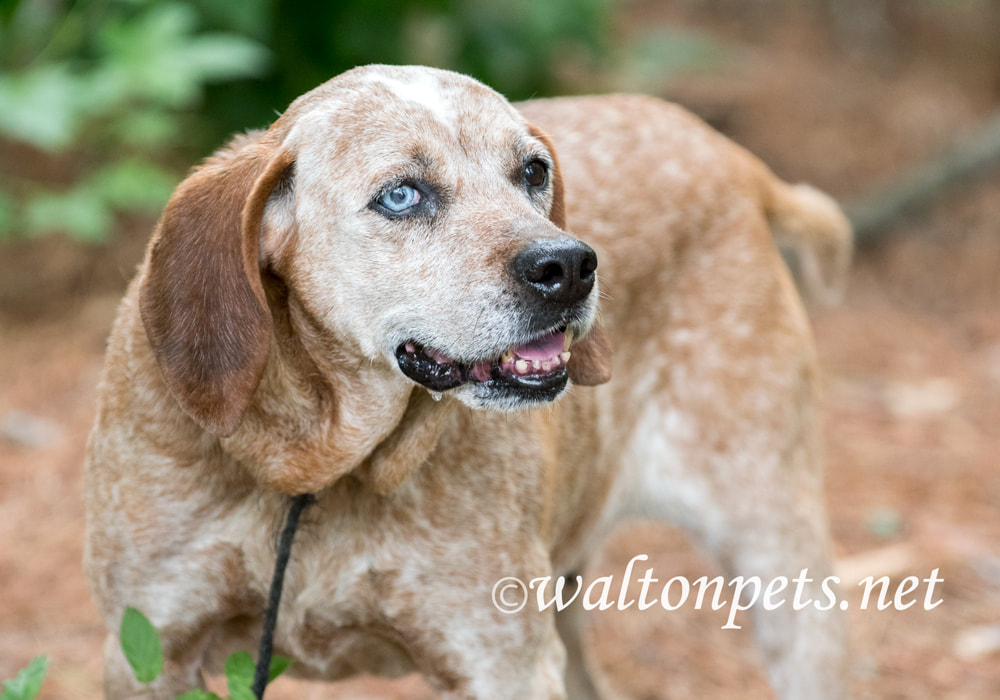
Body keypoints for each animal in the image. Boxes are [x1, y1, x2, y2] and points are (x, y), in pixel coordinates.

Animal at [86, 63, 852, 696]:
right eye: (401, 195)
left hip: (782, 567)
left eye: (533, 172)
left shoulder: (502, 661)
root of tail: (726, 151)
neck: (320, 467)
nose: (569, 266)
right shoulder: (147, 652)